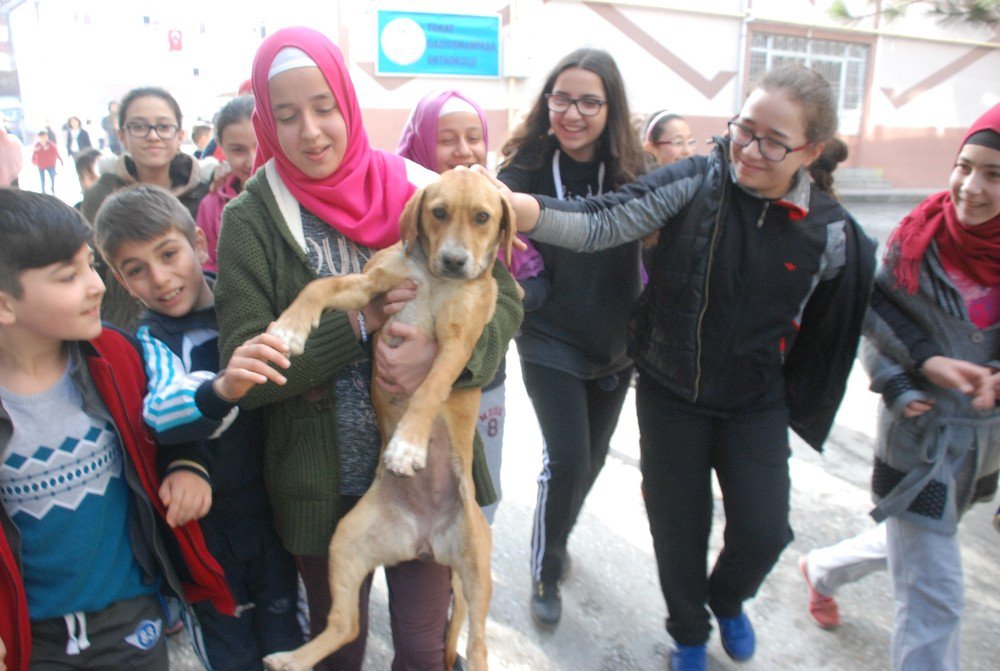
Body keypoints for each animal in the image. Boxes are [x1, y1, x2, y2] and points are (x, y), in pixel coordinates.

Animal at [264, 169, 516, 671]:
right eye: (438, 212)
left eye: (483, 217)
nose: (455, 261)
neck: (434, 279)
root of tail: (425, 541)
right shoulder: (369, 286)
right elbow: (317, 288)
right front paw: (289, 327)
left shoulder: (458, 345)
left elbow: (430, 388)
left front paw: (407, 444)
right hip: (345, 540)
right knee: (345, 625)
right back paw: (291, 660)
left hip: (477, 570)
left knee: (477, 645)